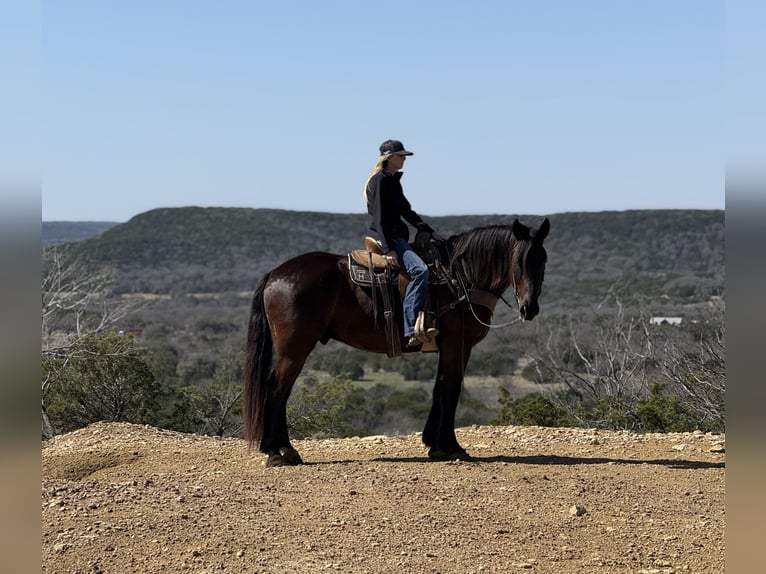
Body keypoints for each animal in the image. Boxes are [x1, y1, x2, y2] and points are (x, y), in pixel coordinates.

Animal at [243, 218, 550, 466]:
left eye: (543, 260)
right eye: (519, 262)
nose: (530, 309)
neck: (459, 278)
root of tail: (275, 274)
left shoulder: (446, 347)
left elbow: (439, 389)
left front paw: (434, 445)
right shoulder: (458, 345)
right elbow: (451, 390)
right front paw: (453, 447)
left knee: (280, 392)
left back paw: (283, 450)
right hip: (294, 350)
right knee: (276, 391)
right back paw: (276, 451)